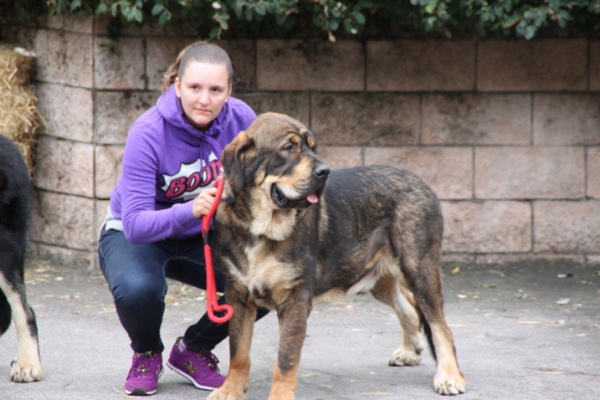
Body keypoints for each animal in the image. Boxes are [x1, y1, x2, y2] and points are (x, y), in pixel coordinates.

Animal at [209, 113, 466, 400]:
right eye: (288, 148)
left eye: (312, 147)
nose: (324, 171)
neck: (260, 229)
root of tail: (421, 183)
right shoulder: (237, 295)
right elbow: (238, 350)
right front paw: (230, 390)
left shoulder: (295, 299)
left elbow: (285, 360)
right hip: (379, 280)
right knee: (409, 307)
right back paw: (410, 351)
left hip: (419, 269)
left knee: (440, 325)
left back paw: (449, 376)